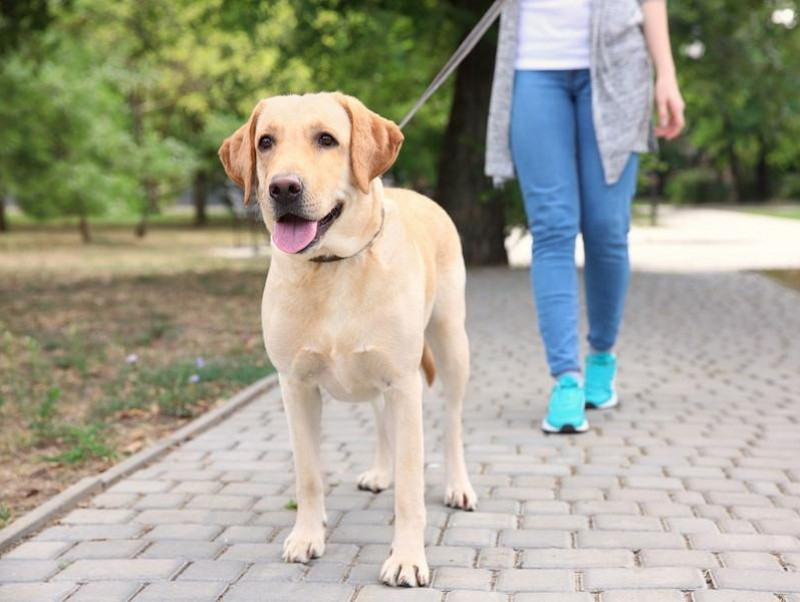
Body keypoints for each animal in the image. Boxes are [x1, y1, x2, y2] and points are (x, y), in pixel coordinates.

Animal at [219, 94, 478, 584]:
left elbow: (411, 487)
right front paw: (308, 535)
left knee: (453, 424)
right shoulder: (295, 386)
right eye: (266, 142)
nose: (283, 188)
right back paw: (380, 471)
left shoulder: (404, 383)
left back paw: (458, 486)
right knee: (379, 418)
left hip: (451, 344)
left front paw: (407, 557)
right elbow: (309, 474)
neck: (332, 266)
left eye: (327, 139)